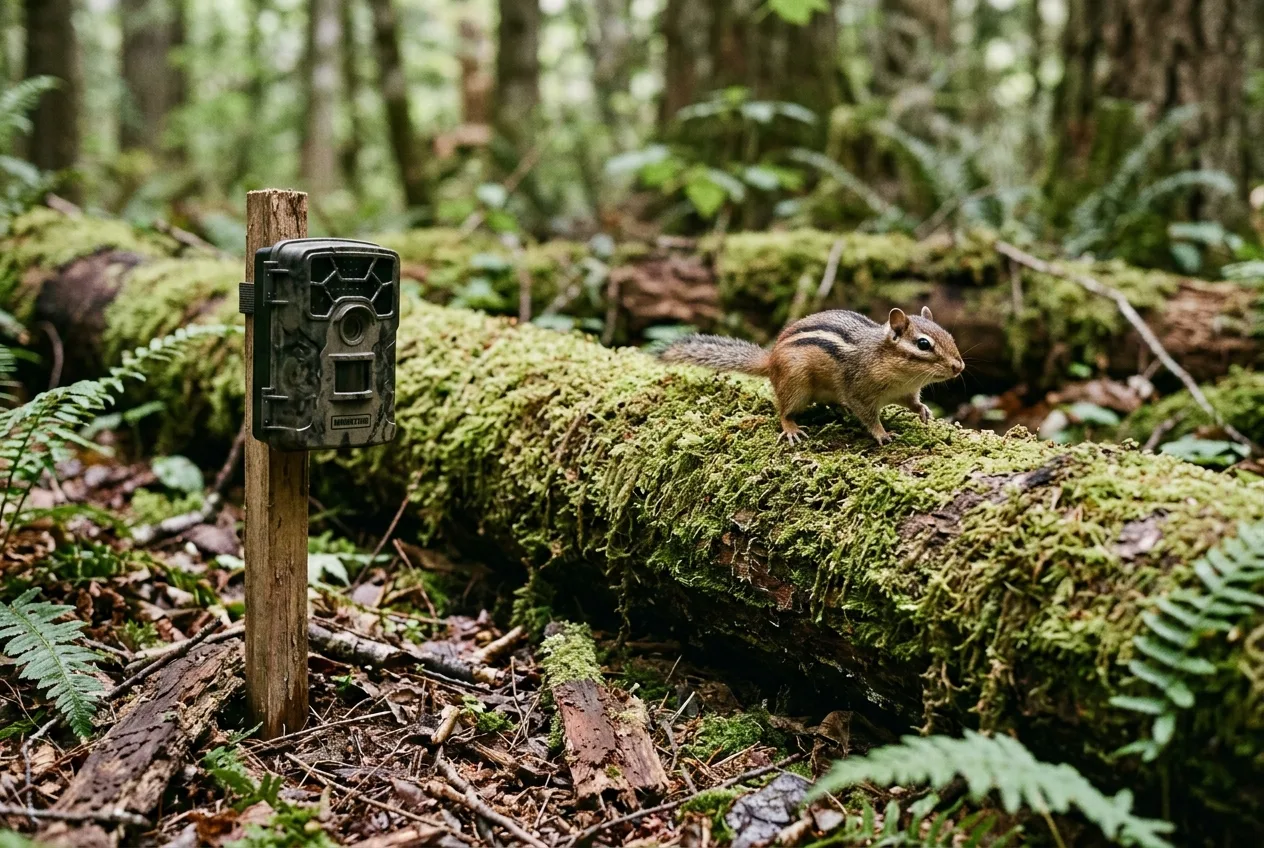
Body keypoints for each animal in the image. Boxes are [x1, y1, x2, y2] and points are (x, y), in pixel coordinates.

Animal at [660, 307, 964, 445]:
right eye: (923, 344)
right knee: (783, 410)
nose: (959, 367)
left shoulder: (905, 391)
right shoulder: (859, 390)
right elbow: (868, 416)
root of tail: (771, 359)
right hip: (796, 384)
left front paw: (924, 411)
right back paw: (791, 428)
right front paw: (882, 434)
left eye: (950, 336)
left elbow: (913, 403)